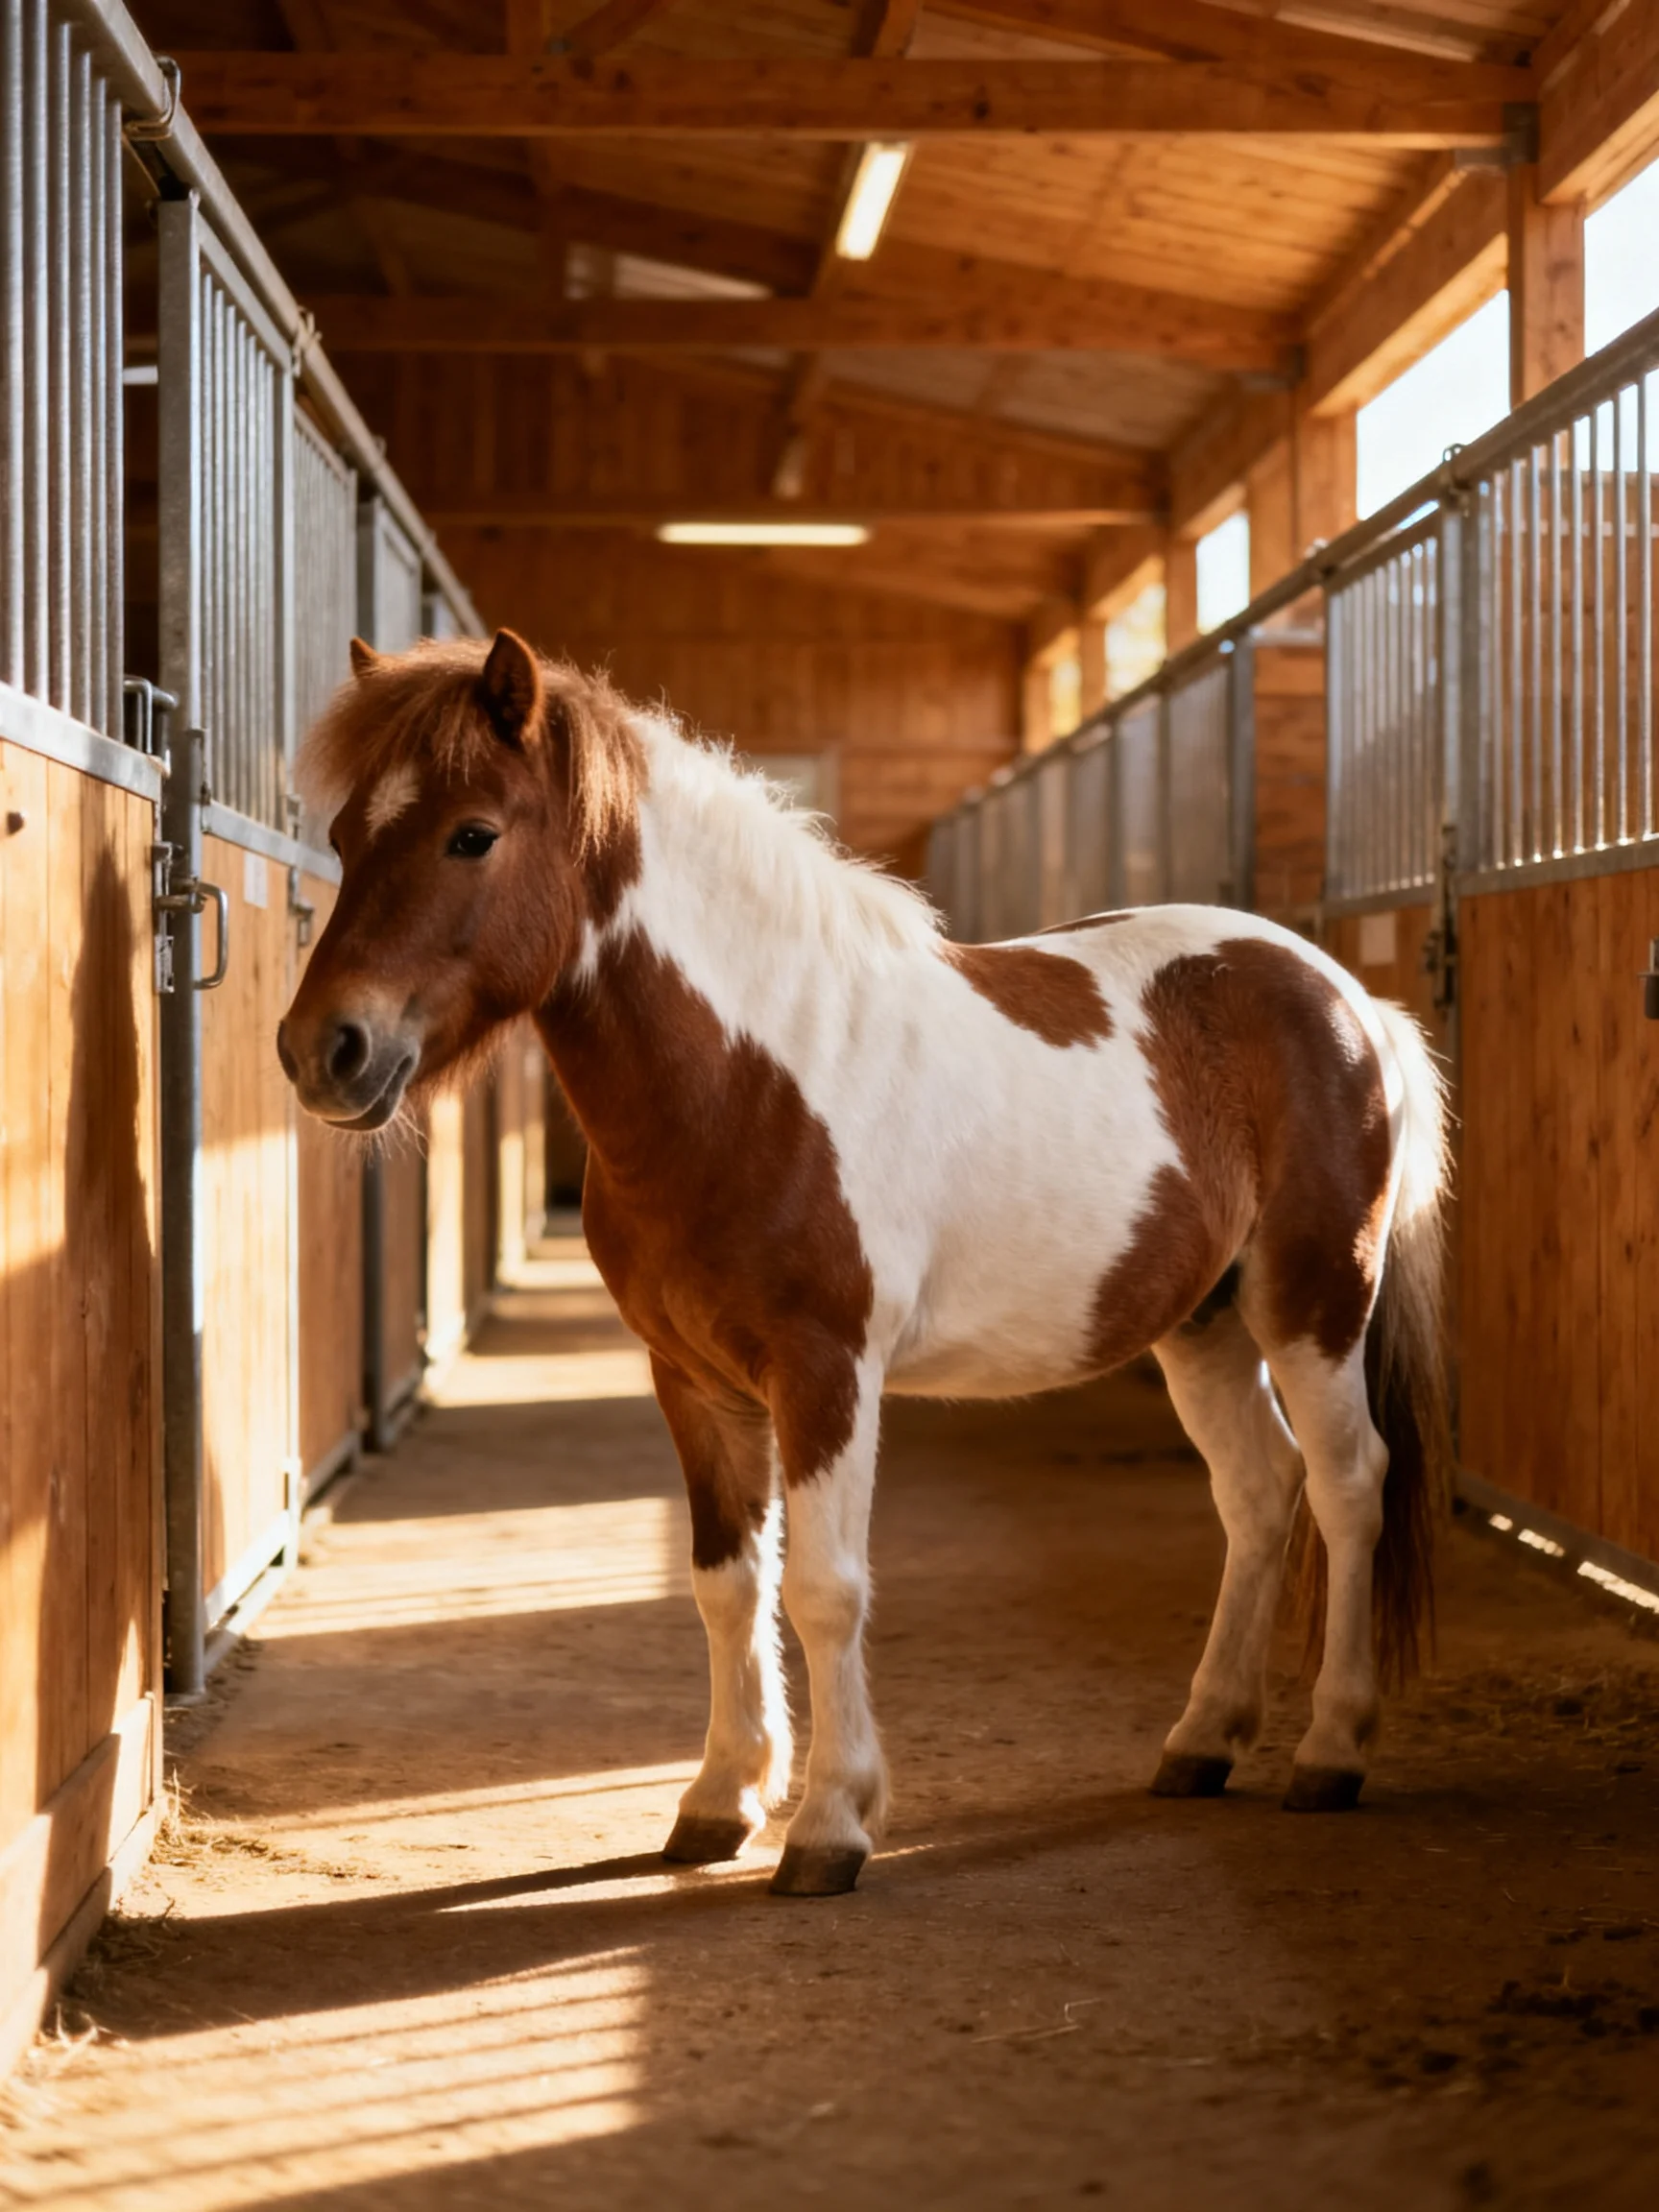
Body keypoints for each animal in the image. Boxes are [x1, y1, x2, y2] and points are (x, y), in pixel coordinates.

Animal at [277, 629, 1451, 1898]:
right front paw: (718, 1802)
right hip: (1205, 1325)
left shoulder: (826, 1372)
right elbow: (727, 1584)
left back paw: (1330, 1751)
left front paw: (830, 1826)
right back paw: (1202, 1741)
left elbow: (825, 1588)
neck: (753, 1077)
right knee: (1259, 1491)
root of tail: (1346, 997)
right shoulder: (691, 1382)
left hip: (1313, 1303)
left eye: (473, 834)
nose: (321, 1050)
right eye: (344, 836)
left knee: (1347, 1484)